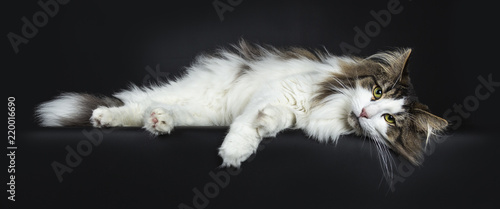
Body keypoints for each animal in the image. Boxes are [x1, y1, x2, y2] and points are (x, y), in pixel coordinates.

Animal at [35, 39, 450, 170]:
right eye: (377, 93)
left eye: (390, 120)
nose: (364, 113)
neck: (332, 107)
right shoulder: (278, 91)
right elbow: (247, 124)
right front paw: (235, 151)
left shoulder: (286, 109)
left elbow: (269, 122)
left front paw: (261, 130)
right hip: (198, 95)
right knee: (139, 102)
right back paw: (105, 116)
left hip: (202, 113)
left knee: (156, 110)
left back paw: (159, 122)